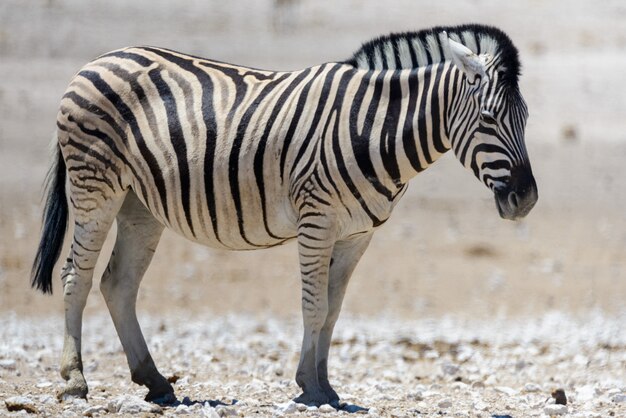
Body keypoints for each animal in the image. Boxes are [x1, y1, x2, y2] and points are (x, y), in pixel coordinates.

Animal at [30, 24, 536, 406]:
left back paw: (153, 381)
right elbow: (314, 307)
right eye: (489, 119)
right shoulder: (317, 219)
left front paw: (326, 386)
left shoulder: (356, 235)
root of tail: (98, 59)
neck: (373, 129)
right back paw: (74, 381)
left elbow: (333, 310)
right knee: (77, 275)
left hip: (139, 205)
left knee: (118, 283)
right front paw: (310, 388)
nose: (527, 200)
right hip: (95, 187)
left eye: (526, 118)